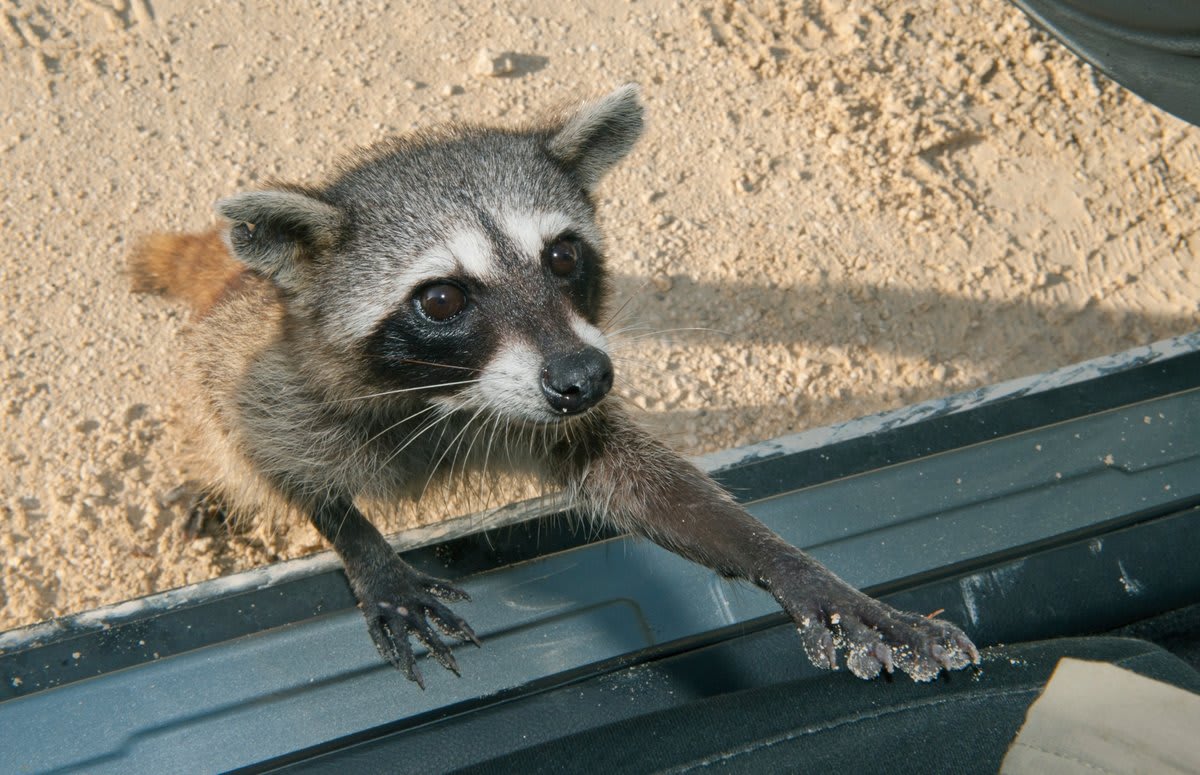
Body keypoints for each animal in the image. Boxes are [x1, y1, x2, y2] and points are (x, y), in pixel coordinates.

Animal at [130, 85, 978, 687]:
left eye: (564, 256)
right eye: (442, 300)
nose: (588, 377)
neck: (451, 396)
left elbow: (651, 487)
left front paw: (803, 574)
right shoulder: (269, 380)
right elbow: (271, 454)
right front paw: (359, 541)